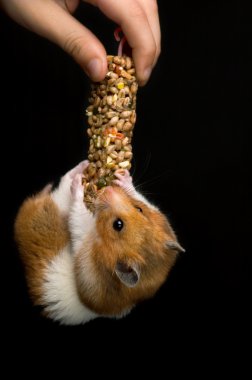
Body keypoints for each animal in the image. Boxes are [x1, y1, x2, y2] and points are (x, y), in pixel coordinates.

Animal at [14, 160, 184, 324]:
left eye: (118, 225)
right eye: (139, 209)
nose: (109, 189)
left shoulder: (85, 251)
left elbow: (78, 218)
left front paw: (80, 188)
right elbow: (144, 199)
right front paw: (123, 177)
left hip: (51, 209)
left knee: (61, 191)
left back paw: (75, 180)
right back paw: (83, 165)